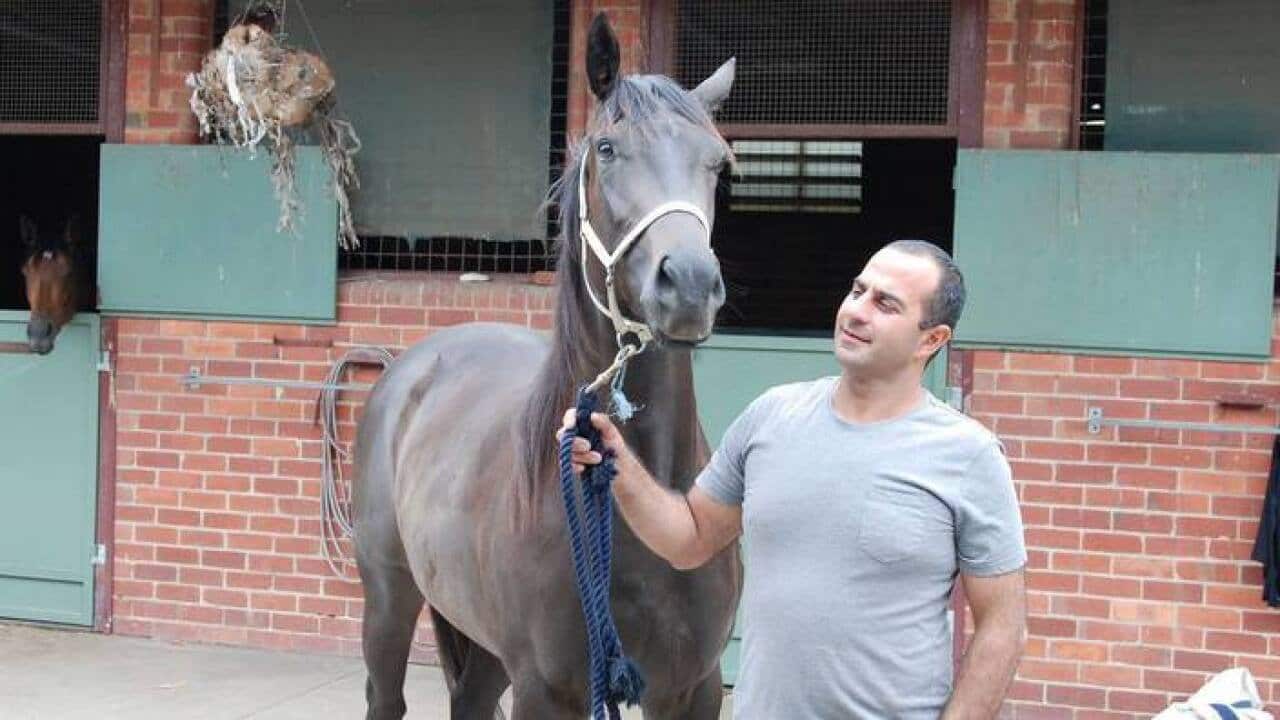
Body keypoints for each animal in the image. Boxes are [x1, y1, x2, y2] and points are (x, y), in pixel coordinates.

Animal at [353, 14, 741, 720]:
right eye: (608, 149)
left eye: (716, 162)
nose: (691, 284)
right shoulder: (548, 688)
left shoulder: (694, 687)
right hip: (389, 599)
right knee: (384, 694)